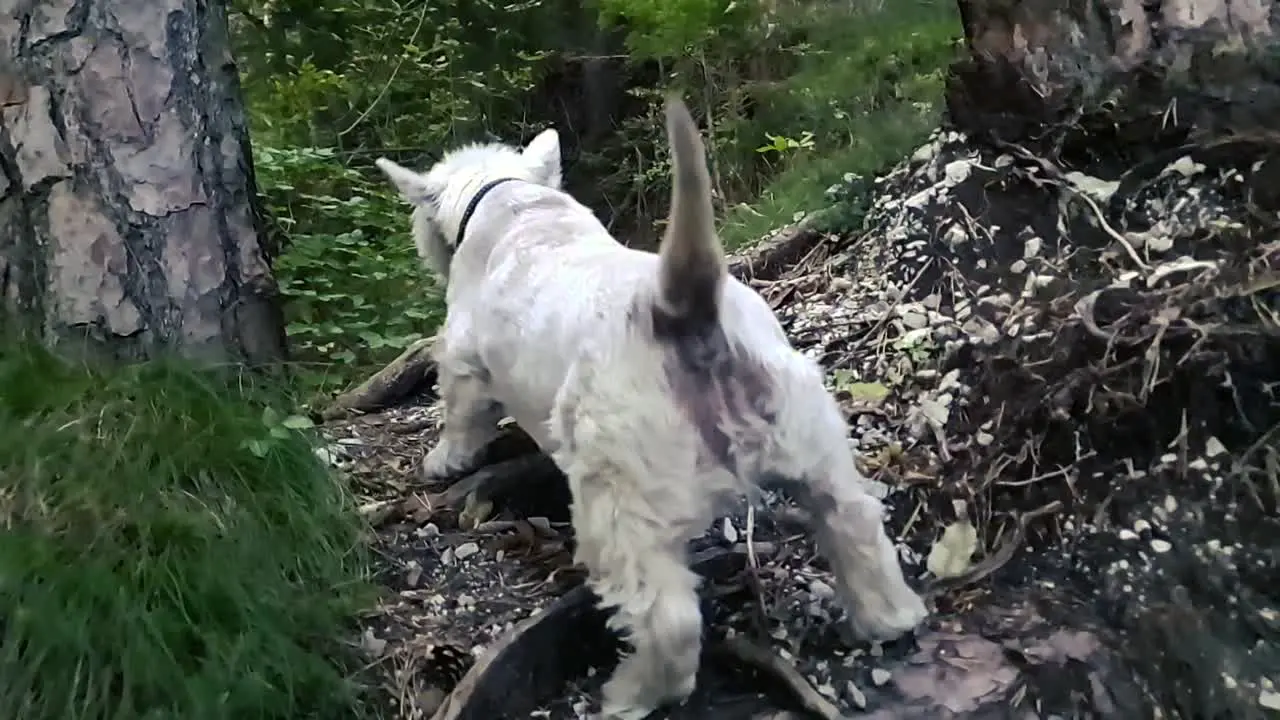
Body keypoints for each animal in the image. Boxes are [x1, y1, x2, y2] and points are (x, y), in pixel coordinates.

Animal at [373, 96, 926, 717]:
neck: (513, 203)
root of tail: (684, 313)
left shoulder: (464, 359)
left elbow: (460, 413)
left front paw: (443, 460)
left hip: (618, 495)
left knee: (667, 619)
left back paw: (631, 692)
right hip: (811, 436)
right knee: (853, 519)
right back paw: (889, 616)